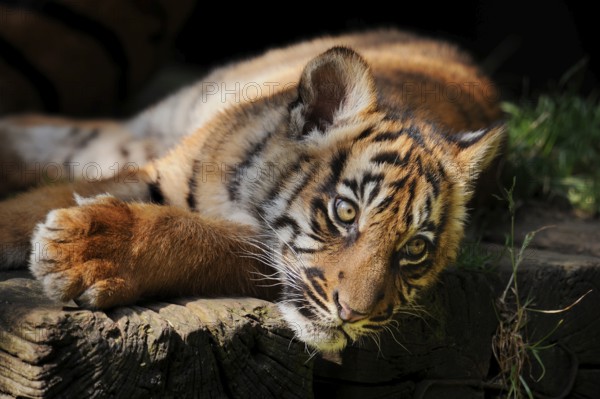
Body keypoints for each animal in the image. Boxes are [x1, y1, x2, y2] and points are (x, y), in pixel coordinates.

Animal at [0, 30, 504, 354]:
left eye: (415, 248)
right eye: (345, 212)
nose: (354, 314)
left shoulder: (254, 247)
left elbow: (196, 237)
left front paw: (84, 251)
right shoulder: (161, 172)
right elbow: (41, 201)